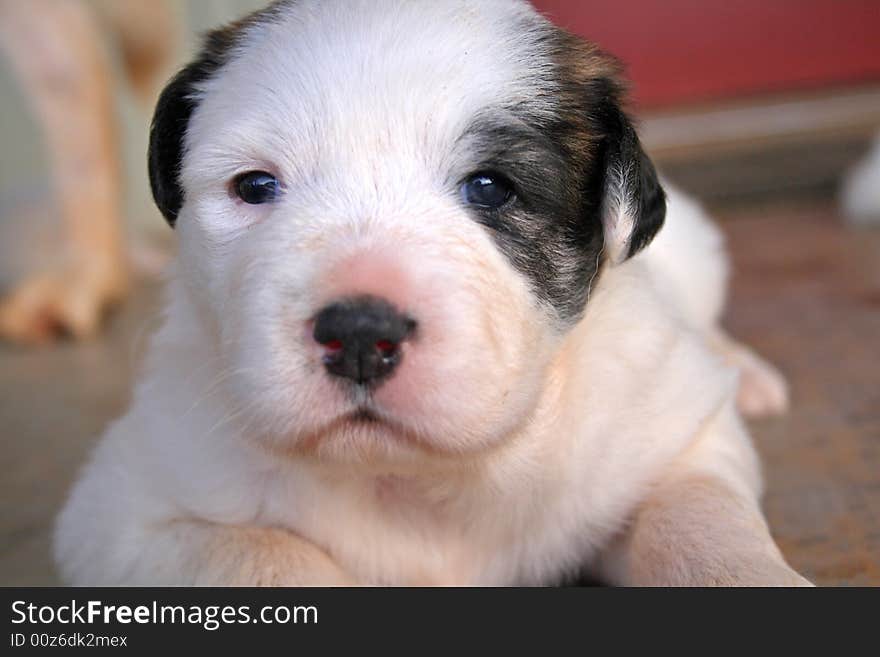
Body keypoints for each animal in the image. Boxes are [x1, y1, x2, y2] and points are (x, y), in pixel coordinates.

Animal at [55, 0, 808, 584]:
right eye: (256, 186)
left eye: (491, 188)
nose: (360, 334)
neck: (415, 481)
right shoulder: (122, 514)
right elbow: (264, 552)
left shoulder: (677, 443)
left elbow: (699, 519)